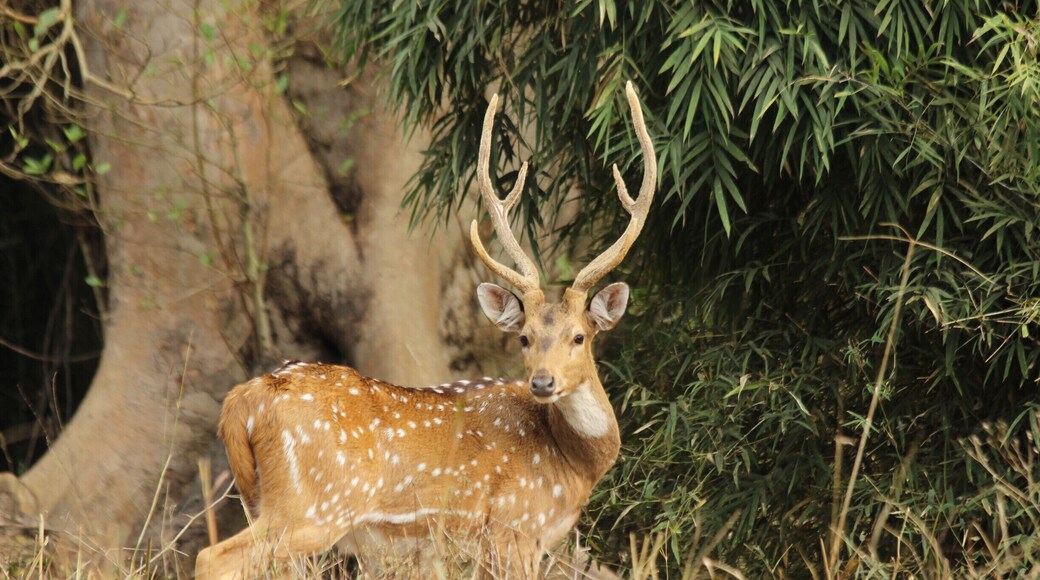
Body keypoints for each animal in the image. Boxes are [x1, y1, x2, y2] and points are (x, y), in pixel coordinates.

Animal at [194, 81, 656, 579]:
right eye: (524, 337)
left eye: (579, 336)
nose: (542, 382)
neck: (572, 466)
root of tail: (244, 399)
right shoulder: (513, 529)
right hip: (313, 505)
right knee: (212, 556)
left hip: (259, 498)